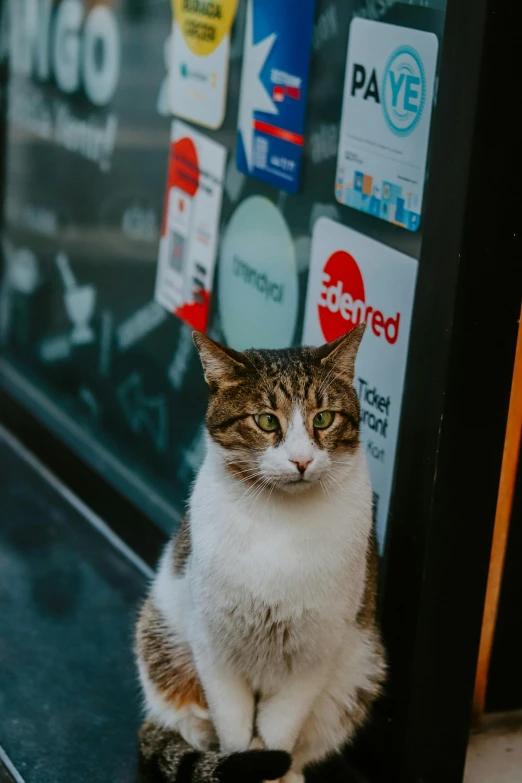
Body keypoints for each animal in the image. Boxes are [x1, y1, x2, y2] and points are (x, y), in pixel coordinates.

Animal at [136, 324, 384, 783]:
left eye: (323, 418)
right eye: (267, 420)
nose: (301, 460)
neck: (280, 521)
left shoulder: (314, 653)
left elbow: (279, 732)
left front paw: (273, 768)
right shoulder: (213, 645)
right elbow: (233, 730)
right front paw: (243, 762)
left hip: (358, 671)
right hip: (161, 639)